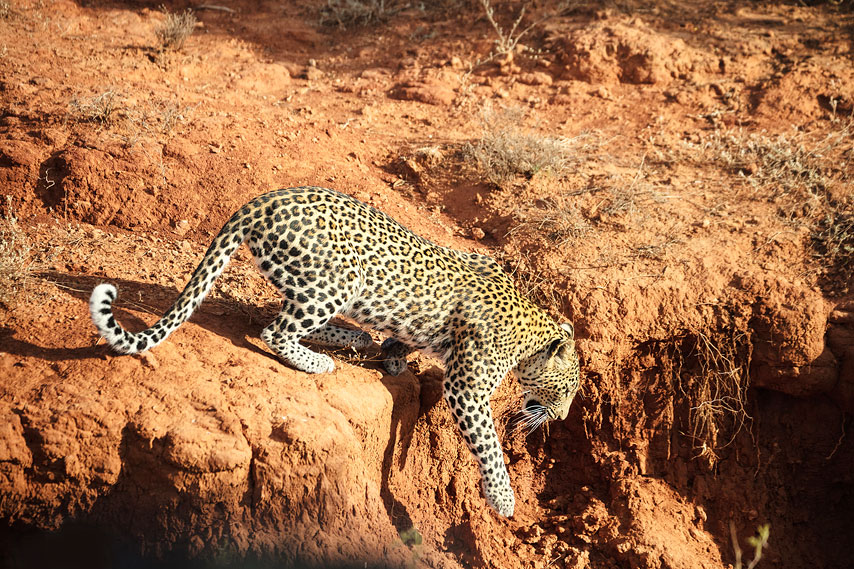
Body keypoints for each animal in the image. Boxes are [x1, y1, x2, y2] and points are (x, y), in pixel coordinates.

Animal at [89, 186, 581, 517]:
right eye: (564, 391)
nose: (559, 417)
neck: (530, 333)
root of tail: (262, 200)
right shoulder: (467, 388)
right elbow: (489, 444)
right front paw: (503, 497)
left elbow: (407, 336)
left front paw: (395, 353)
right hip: (340, 279)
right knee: (275, 329)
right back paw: (318, 360)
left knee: (287, 315)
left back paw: (354, 340)